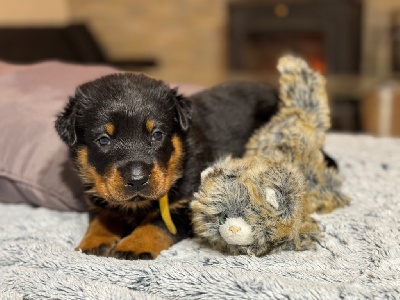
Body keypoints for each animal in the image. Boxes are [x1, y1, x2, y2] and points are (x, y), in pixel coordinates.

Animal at [55, 72, 282, 260]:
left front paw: (133, 245)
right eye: (103, 140)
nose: (137, 179)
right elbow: (102, 217)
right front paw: (94, 241)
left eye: (157, 135)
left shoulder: (187, 203)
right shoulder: (97, 196)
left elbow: (158, 223)